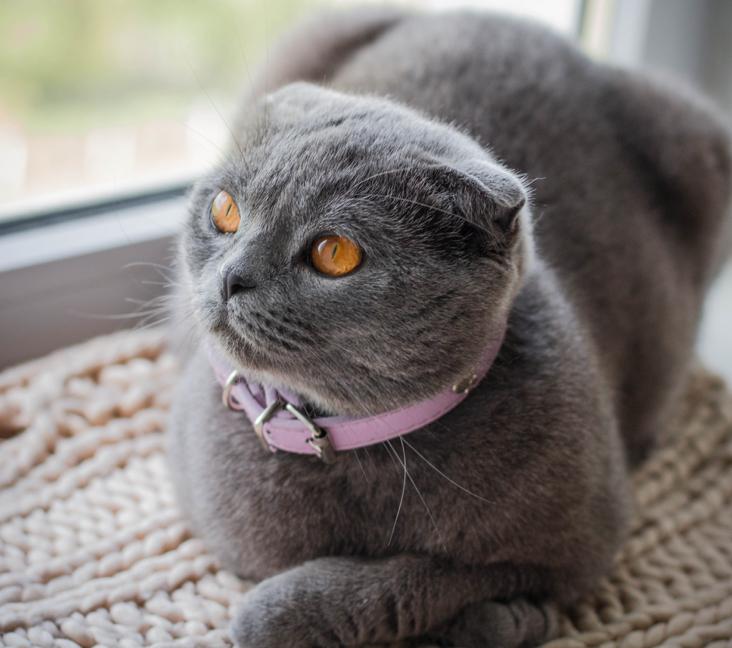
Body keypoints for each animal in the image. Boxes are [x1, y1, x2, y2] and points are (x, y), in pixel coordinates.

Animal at [167, 6, 732, 648]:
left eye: (334, 253)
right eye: (226, 211)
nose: (232, 278)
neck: (361, 445)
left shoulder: (587, 542)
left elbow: (421, 579)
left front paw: (502, 617)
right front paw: (508, 617)